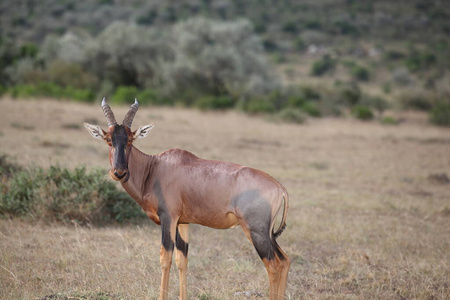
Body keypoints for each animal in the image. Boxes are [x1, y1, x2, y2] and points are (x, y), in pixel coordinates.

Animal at [82, 99, 290, 300]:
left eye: (130, 140)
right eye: (109, 139)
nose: (119, 172)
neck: (155, 168)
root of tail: (280, 187)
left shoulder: (169, 217)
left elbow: (165, 258)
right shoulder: (183, 222)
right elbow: (182, 260)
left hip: (256, 231)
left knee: (273, 266)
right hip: (268, 234)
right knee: (285, 261)